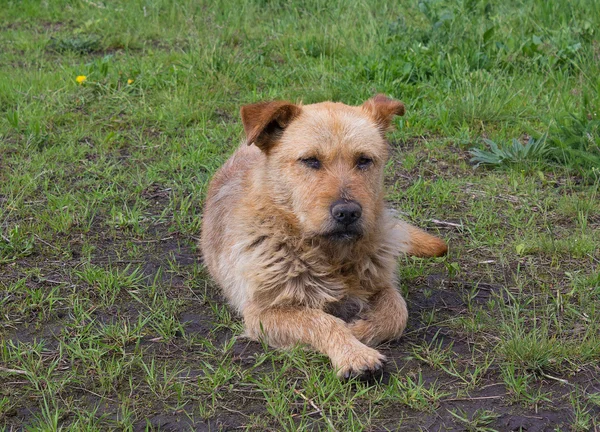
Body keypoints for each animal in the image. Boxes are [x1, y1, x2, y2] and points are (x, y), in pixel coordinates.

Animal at [200, 95, 446, 378]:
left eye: (364, 160)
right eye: (310, 160)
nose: (348, 212)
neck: (330, 255)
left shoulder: (381, 284)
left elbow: (397, 312)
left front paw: (359, 330)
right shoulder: (263, 312)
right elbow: (321, 320)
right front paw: (354, 352)